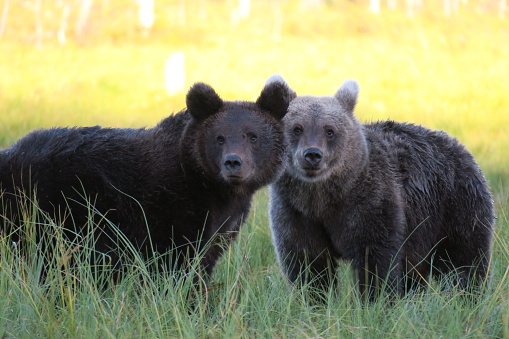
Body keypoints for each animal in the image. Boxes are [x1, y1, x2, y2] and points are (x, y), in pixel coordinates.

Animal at [0, 77, 294, 278]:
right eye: (219, 137)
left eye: (252, 136)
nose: (233, 163)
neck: (211, 186)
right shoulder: (170, 211)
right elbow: (175, 264)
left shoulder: (221, 223)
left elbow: (206, 258)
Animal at [268, 76, 494, 300]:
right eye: (297, 128)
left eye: (329, 130)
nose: (312, 155)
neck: (324, 196)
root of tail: (460, 146)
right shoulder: (296, 212)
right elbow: (308, 263)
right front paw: (315, 299)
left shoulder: (371, 202)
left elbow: (376, 259)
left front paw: (375, 299)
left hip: (455, 207)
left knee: (463, 260)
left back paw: (467, 296)